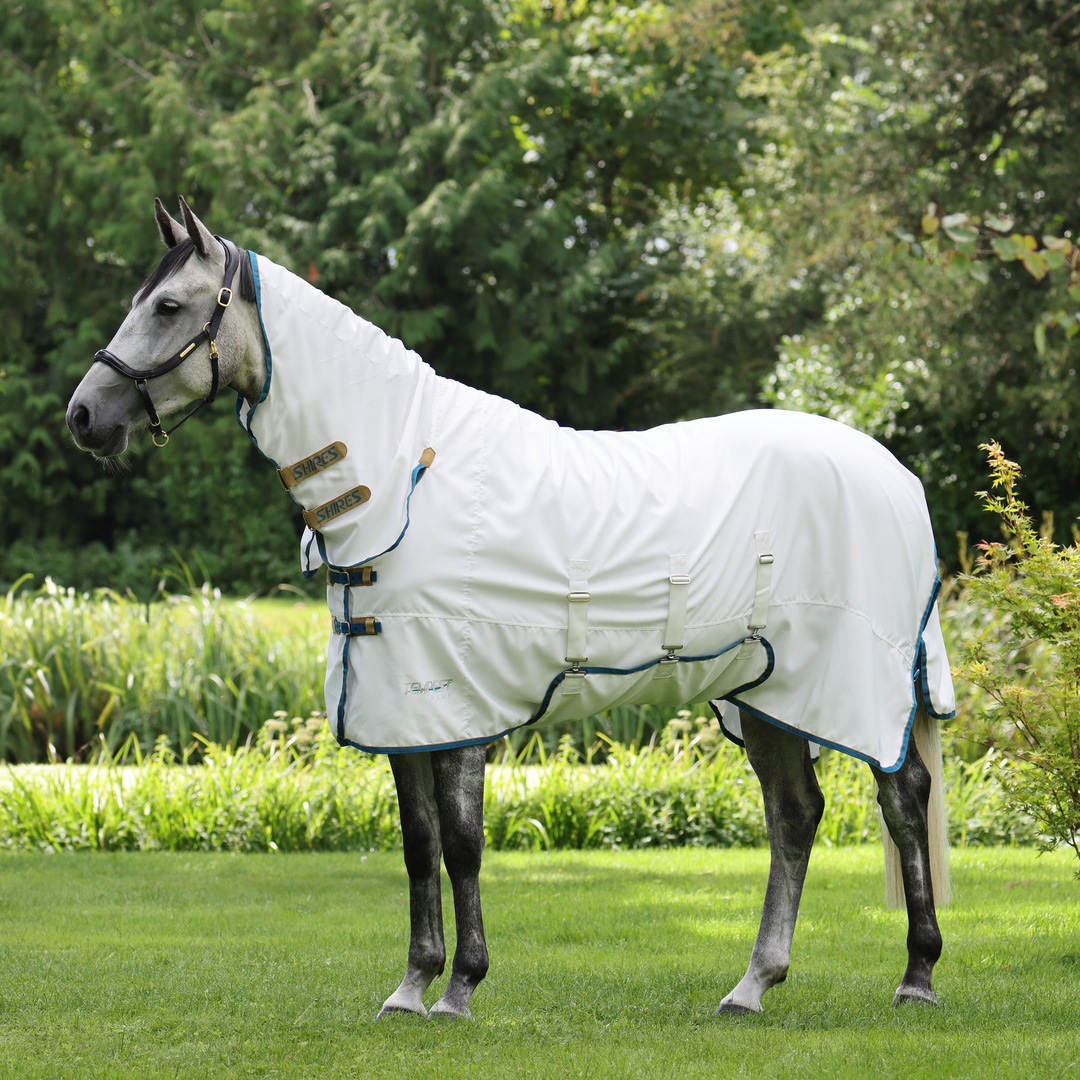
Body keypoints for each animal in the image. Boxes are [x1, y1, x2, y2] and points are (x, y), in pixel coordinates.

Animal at [67, 198, 953, 1020]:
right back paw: (752, 986)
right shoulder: (401, 713)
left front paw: (460, 987)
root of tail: (896, 475)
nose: (84, 417)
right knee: (795, 816)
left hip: (857, 687)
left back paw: (916, 974)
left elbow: (462, 845)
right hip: (767, 693)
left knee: (902, 801)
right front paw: (411, 987)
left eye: (168, 306)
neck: (402, 476)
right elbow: (418, 845)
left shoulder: (455, 704)